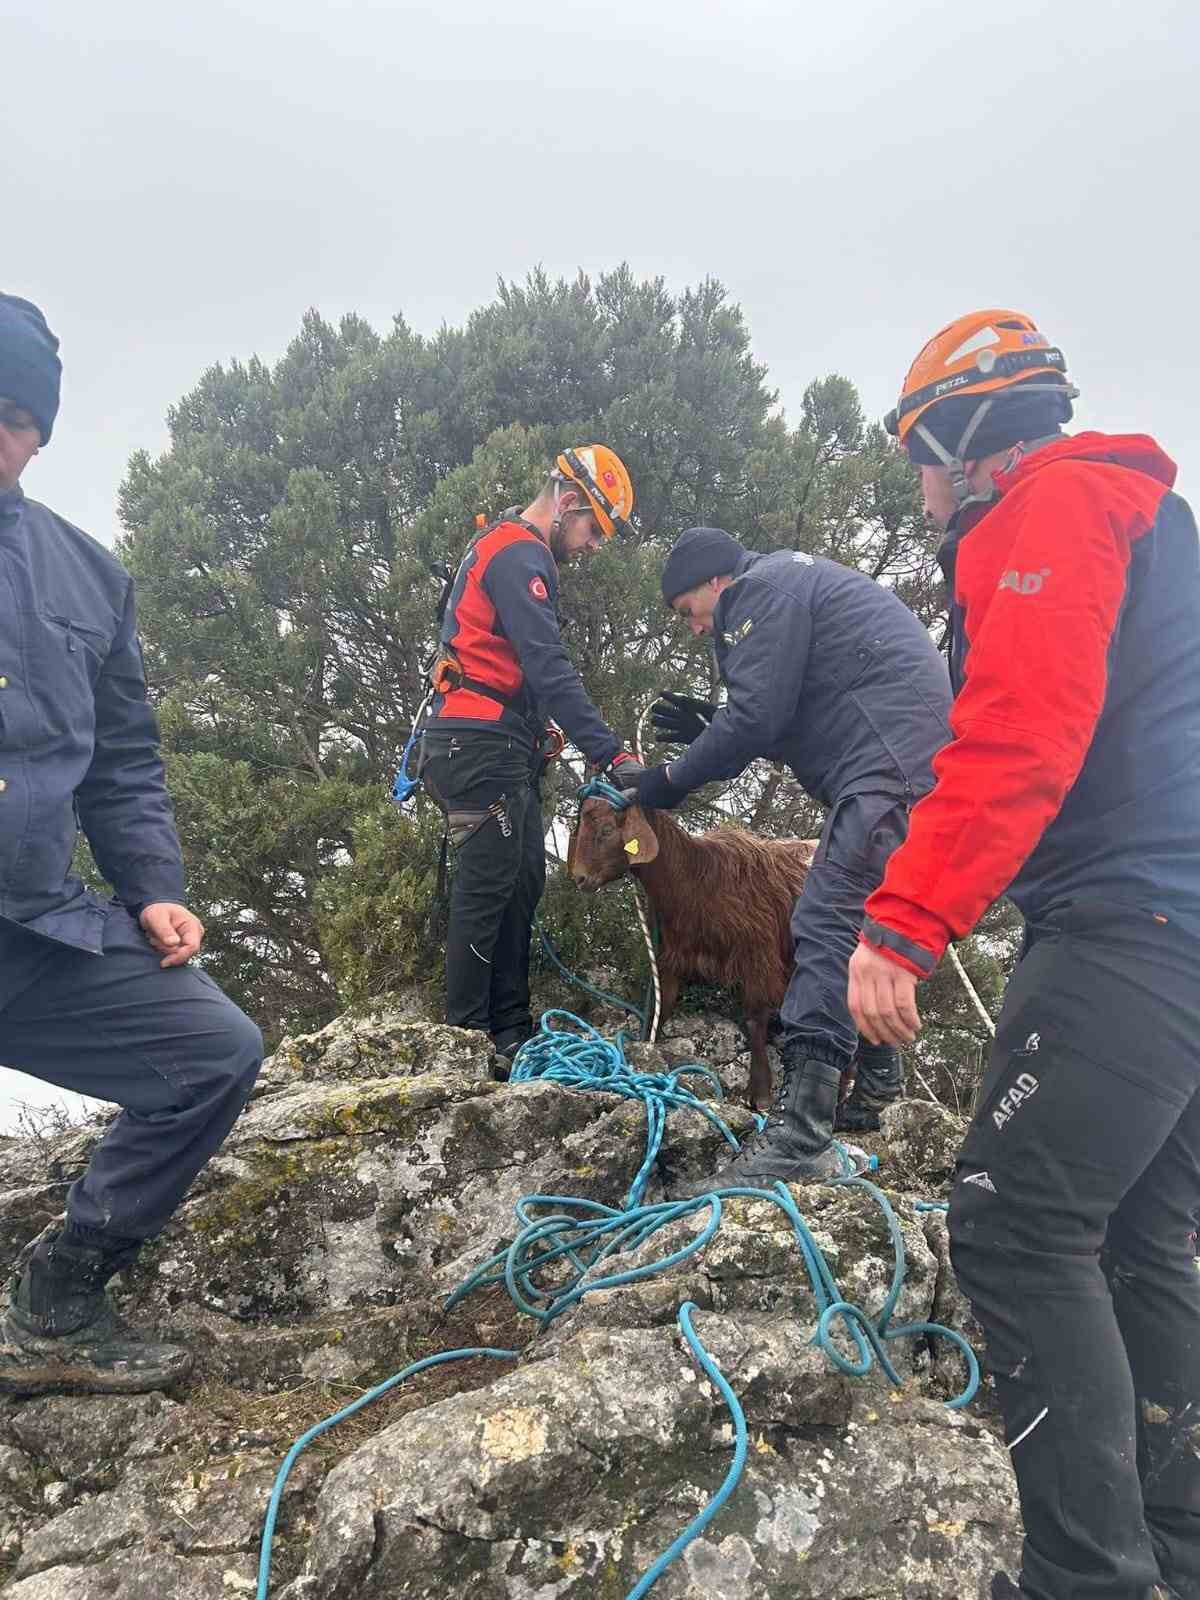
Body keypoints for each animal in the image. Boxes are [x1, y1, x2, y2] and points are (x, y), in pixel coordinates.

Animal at [569, 800, 819, 1113]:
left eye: (606, 829)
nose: (579, 877)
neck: (698, 881)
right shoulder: (674, 954)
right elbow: (662, 1004)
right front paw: (644, 1053)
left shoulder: (760, 958)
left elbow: (754, 1020)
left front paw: (760, 1093)